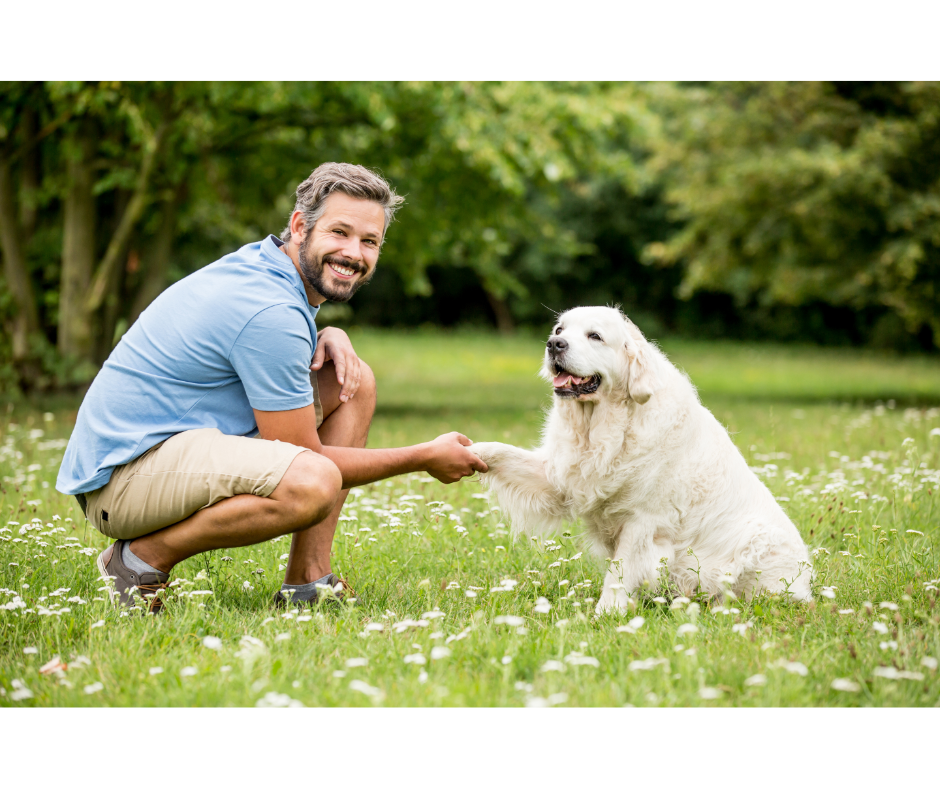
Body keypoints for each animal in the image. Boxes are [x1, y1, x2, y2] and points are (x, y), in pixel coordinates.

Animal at [474, 304, 812, 612]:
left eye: (594, 336)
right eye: (560, 330)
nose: (554, 344)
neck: (604, 428)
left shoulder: (643, 520)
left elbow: (619, 571)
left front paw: (606, 613)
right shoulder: (561, 478)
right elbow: (502, 452)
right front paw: (470, 451)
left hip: (756, 542)